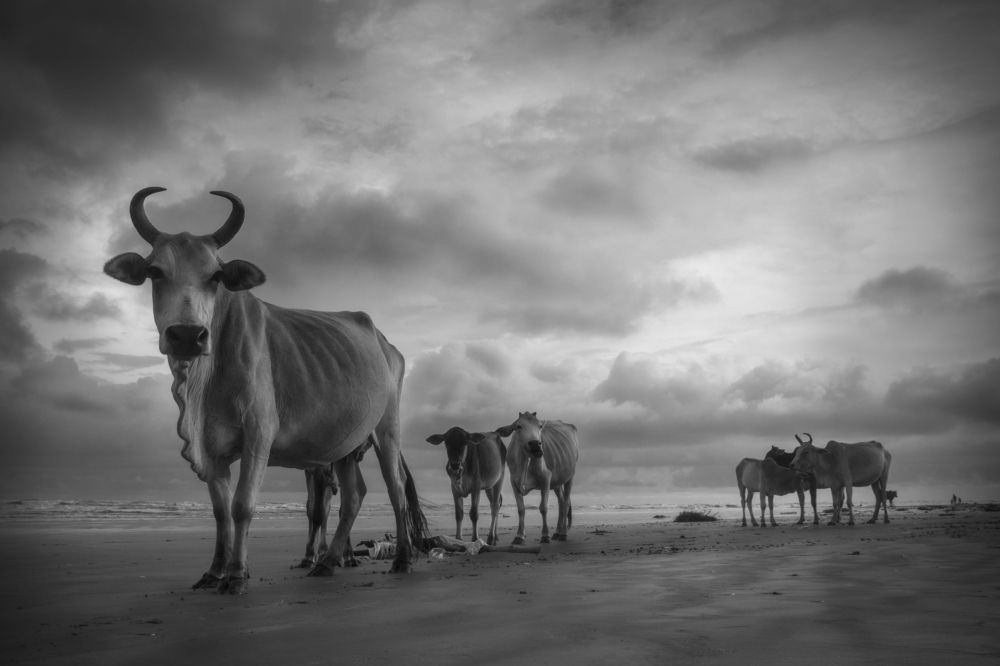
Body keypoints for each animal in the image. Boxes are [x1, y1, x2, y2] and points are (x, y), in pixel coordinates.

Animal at [104, 187, 428, 593]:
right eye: (154, 272)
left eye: (216, 275)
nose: (187, 336)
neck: (202, 384)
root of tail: (385, 343)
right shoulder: (211, 449)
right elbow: (220, 511)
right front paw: (215, 571)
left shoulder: (259, 433)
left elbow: (242, 505)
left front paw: (237, 575)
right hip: (343, 444)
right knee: (354, 497)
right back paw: (328, 562)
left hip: (387, 429)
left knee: (396, 487)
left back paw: (402, 559)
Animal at [494, 412, 579, 544]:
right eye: (518, 426)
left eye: (540, 426)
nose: (535, 444)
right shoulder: (514, 482)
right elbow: (521, 509)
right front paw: (519, 536)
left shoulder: (546, 478)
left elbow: (543, 508)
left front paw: (545, 535)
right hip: (557, 482)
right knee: (561, 502)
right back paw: (557, 532)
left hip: (570, 476)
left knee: (565, 503)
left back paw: (563, 534)